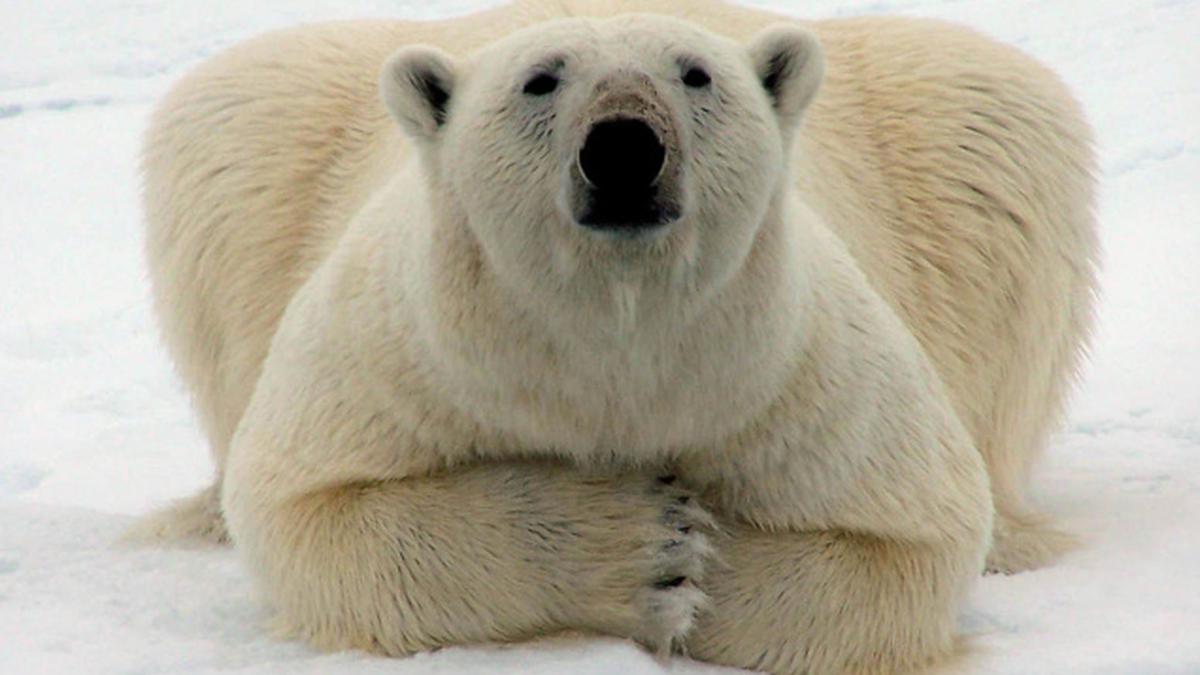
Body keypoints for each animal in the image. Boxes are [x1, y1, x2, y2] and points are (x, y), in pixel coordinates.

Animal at [128, 0, 1098, 673]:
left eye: (696, 74)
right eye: (540, 78)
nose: (625, 146)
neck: (618, 352)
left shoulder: (806, 380)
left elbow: (912, 541)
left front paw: (696, 555)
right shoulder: (398, 357)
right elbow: (313, 514)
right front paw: (642, 544)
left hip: (948, 145)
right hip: (273, 132)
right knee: (226, 127)